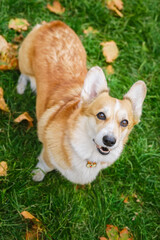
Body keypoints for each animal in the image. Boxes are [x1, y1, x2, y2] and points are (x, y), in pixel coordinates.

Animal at [17, 21, 146, 186]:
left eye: (124, 122)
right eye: (101, 115)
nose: (109, 141)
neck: (88, 156)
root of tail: (54, 24)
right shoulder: (48, 155)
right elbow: (45, 166)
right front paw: (37, 175)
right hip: (25, 63)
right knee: (24, 74)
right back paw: (21, 87)